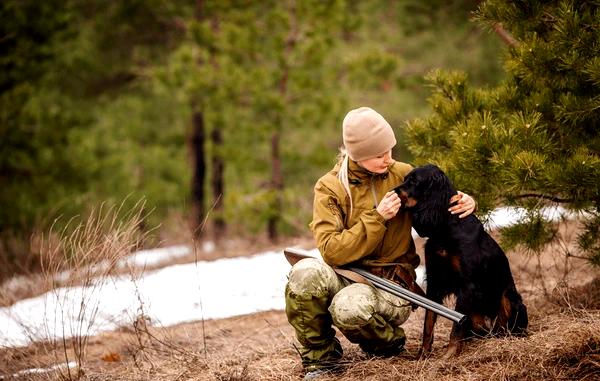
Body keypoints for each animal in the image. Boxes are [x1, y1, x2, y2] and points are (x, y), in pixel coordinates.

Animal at [396, 163, 528, 356]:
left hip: (509, 297)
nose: (392, 191)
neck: (445, 227)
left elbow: (456, 326)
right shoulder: (435, 281)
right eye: (405, 179)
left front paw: (449, 354)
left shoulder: (467, 285)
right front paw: (424, 353)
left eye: (414, 181)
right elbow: (428, 321)